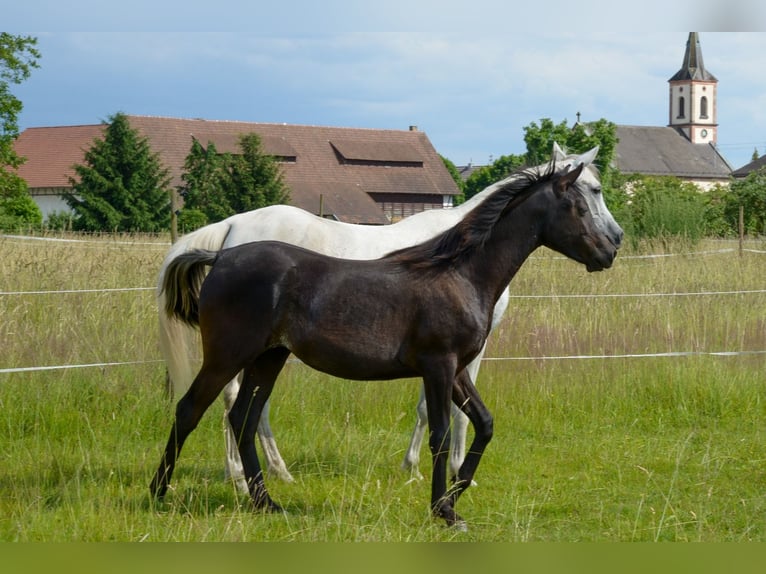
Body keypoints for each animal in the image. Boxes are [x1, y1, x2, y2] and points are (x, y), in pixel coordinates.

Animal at [148, 162, 624, 532]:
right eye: (582, 202)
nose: (611, 249)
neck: (460, 274)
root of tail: (221, 255)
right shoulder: (439, 365)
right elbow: (439, 432)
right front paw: (442, 510)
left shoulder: (457, 371)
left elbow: (484, 423)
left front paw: (456, 498)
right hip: (227, 356)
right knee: (191, 410)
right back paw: (159, 493)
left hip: (268, 358)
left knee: (243, 419)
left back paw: (266, 501)